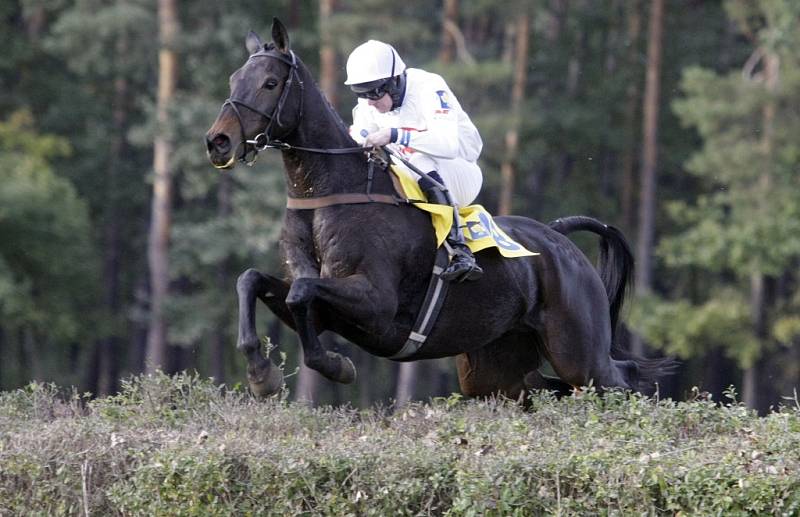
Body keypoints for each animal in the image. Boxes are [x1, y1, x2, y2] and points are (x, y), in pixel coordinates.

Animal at [203, 19, 672, 400]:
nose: (218, 142)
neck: (328, 196)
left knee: (625, 378)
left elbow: (302, 292)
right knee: (544, 388)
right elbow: (254, 281)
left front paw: (336, 366)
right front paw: (261, 373)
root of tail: (558, 236)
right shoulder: (323, 309)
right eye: (233, 78)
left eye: (269, 83)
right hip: (495, 370)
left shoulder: (375, 303)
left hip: (579, 352)